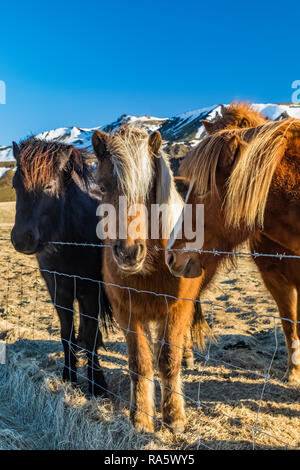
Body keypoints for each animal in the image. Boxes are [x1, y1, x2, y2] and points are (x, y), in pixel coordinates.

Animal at [10, 138, 112, 394]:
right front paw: (69, 377)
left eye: (48, 186)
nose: (22, 239)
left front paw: (97, 385)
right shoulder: (58, 290)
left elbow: (90, 335)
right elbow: (67, 334)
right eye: (15, 185)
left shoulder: (90, 291)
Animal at [91, 126, 209, 434]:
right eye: (103, 187)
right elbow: (140, 363)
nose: (129, 253)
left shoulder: (177, 308)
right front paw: (141, 419)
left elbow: (168, 360)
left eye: (150, 190)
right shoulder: (128, 312)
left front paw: (174, 417)